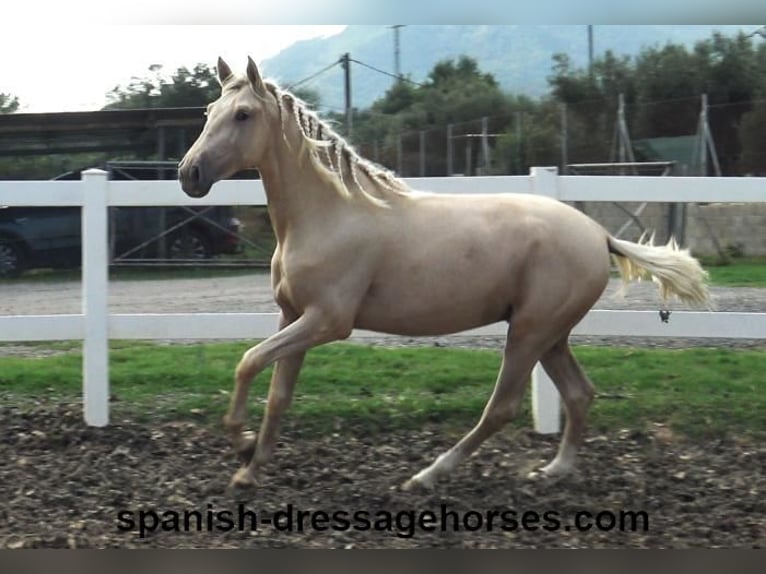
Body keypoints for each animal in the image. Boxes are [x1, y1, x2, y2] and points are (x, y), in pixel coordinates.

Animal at [177, 57, 712, 490]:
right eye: (209, 112)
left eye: (243, 114)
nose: (189, 174)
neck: (330, 214)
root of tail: (598, 235)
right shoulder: (292, 317)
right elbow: (278, 394)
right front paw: (249, 467)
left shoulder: (327, 321)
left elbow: (247, 362)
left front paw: (242, 444)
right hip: (551, 335)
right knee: (579, 394)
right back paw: (553, 471)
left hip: (529, 331)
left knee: (503, 406)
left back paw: (427, 476)